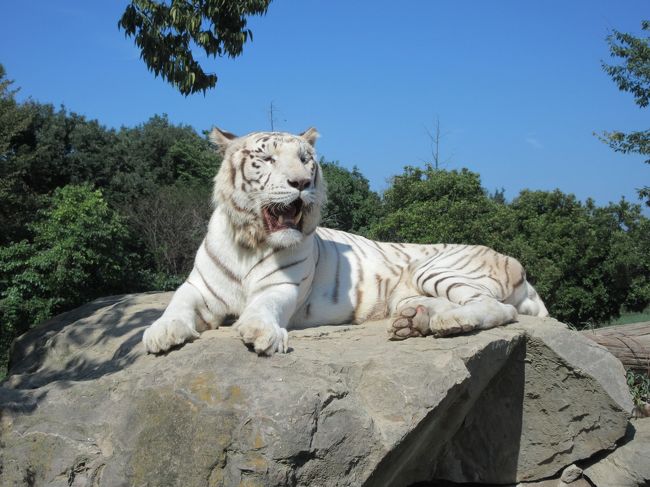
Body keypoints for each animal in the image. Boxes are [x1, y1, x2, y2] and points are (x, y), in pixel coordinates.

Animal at [143, 129, 548, 358]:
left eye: (306, 160)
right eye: (267, 158)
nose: (301, 182)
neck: (251, 241)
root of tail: (518, 266)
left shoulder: (282, 287)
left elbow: (262, 306)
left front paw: (261, 332)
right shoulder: (198, 287)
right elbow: (177, 303)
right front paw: (161, 332)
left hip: (435, 268)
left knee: (498, 309)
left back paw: (451, 322)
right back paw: (415, 322)